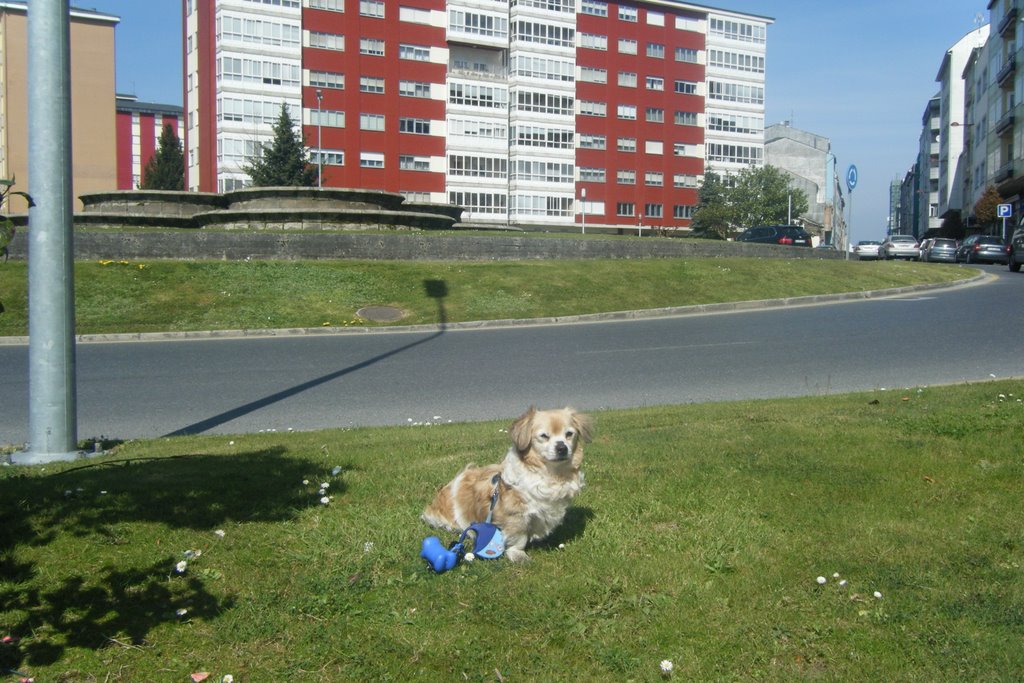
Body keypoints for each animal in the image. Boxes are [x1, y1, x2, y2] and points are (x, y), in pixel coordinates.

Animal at [419, 409, 593, 565]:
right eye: (544, 436)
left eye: (569, 434)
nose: (562, 447)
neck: (552, 475)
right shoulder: (515, 515)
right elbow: (519, 537)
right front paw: (518, 555)